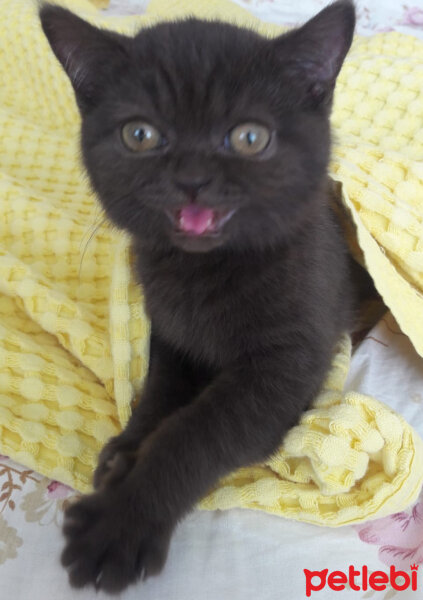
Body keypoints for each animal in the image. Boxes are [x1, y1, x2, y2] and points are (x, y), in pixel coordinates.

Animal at [39, 0, 358, 592]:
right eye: (139, 135)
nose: (191, 179)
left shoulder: (285, 366)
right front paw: (125, 450)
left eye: (250, 138)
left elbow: (194, 432)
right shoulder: (169, 333)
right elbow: (159, 395)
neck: (201, 272)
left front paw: (120, 525)